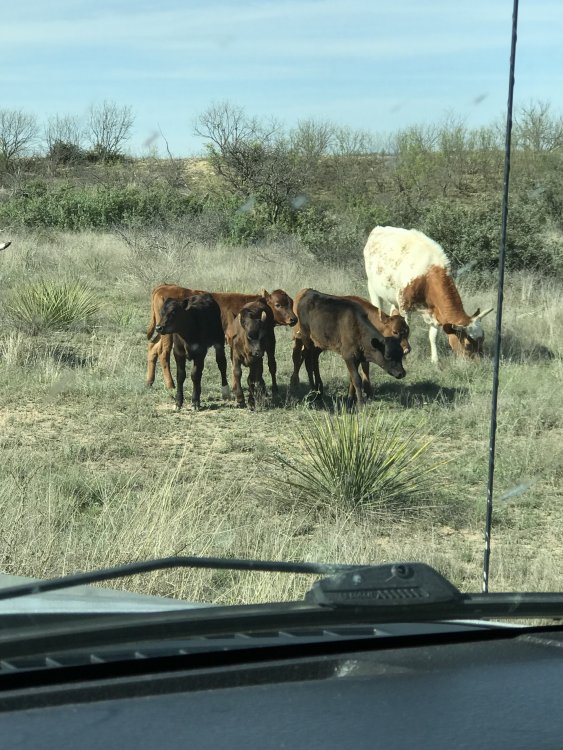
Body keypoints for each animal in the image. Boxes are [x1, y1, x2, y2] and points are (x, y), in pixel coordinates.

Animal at [145, 284, 297, 394]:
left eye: (291, 302)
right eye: (278, 304)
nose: (294, 319)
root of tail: (164, 286)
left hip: (160, 330)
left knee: (152, 347)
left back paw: (149, 382)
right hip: (166, 334)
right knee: (163, 353)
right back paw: (170, 384)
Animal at [363, 226, 493, 363]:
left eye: (483, 339)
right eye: (467, 345)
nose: (479, 362)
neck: (427, 276)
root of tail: (379, 228)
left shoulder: (435, 313)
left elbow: (433, 336)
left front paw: (435, 360)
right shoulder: (405, 307)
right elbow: (405, 331)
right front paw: (405, 357)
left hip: (394, 296)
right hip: (372, 287)